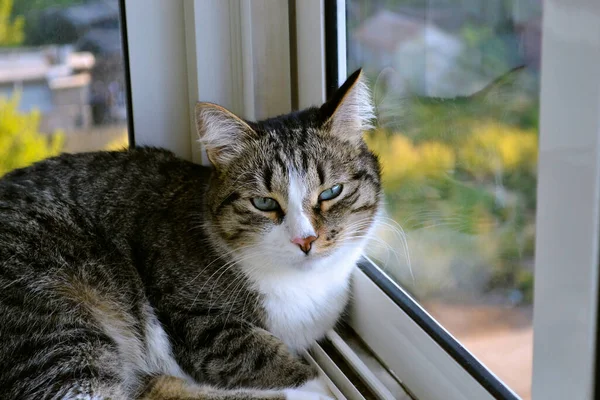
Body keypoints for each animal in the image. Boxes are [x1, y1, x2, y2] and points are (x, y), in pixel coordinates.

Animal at [0, 70, 382, 398]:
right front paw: (314, 387)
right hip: (57, 319)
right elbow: (256, 354)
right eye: (263, 202)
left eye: (331, 192)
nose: (305, 240)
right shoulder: (197, 321)